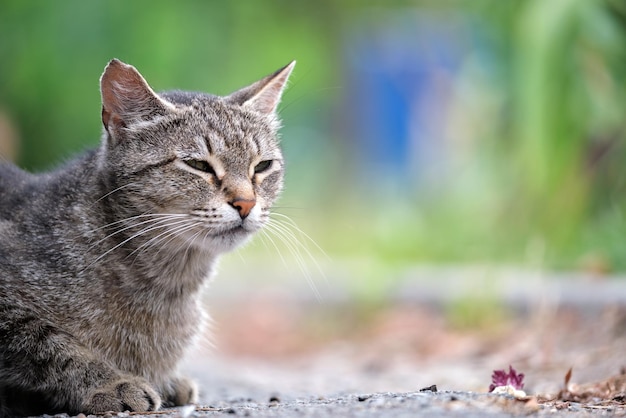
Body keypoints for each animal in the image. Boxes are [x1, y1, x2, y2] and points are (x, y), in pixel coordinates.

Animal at [0, 57, 292, 416]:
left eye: (262, 166)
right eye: (198, 165)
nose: (246, 203)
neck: (170, 284)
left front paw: (168, 380)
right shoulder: (10, 312)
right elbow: (48, 342)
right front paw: (111, 382)